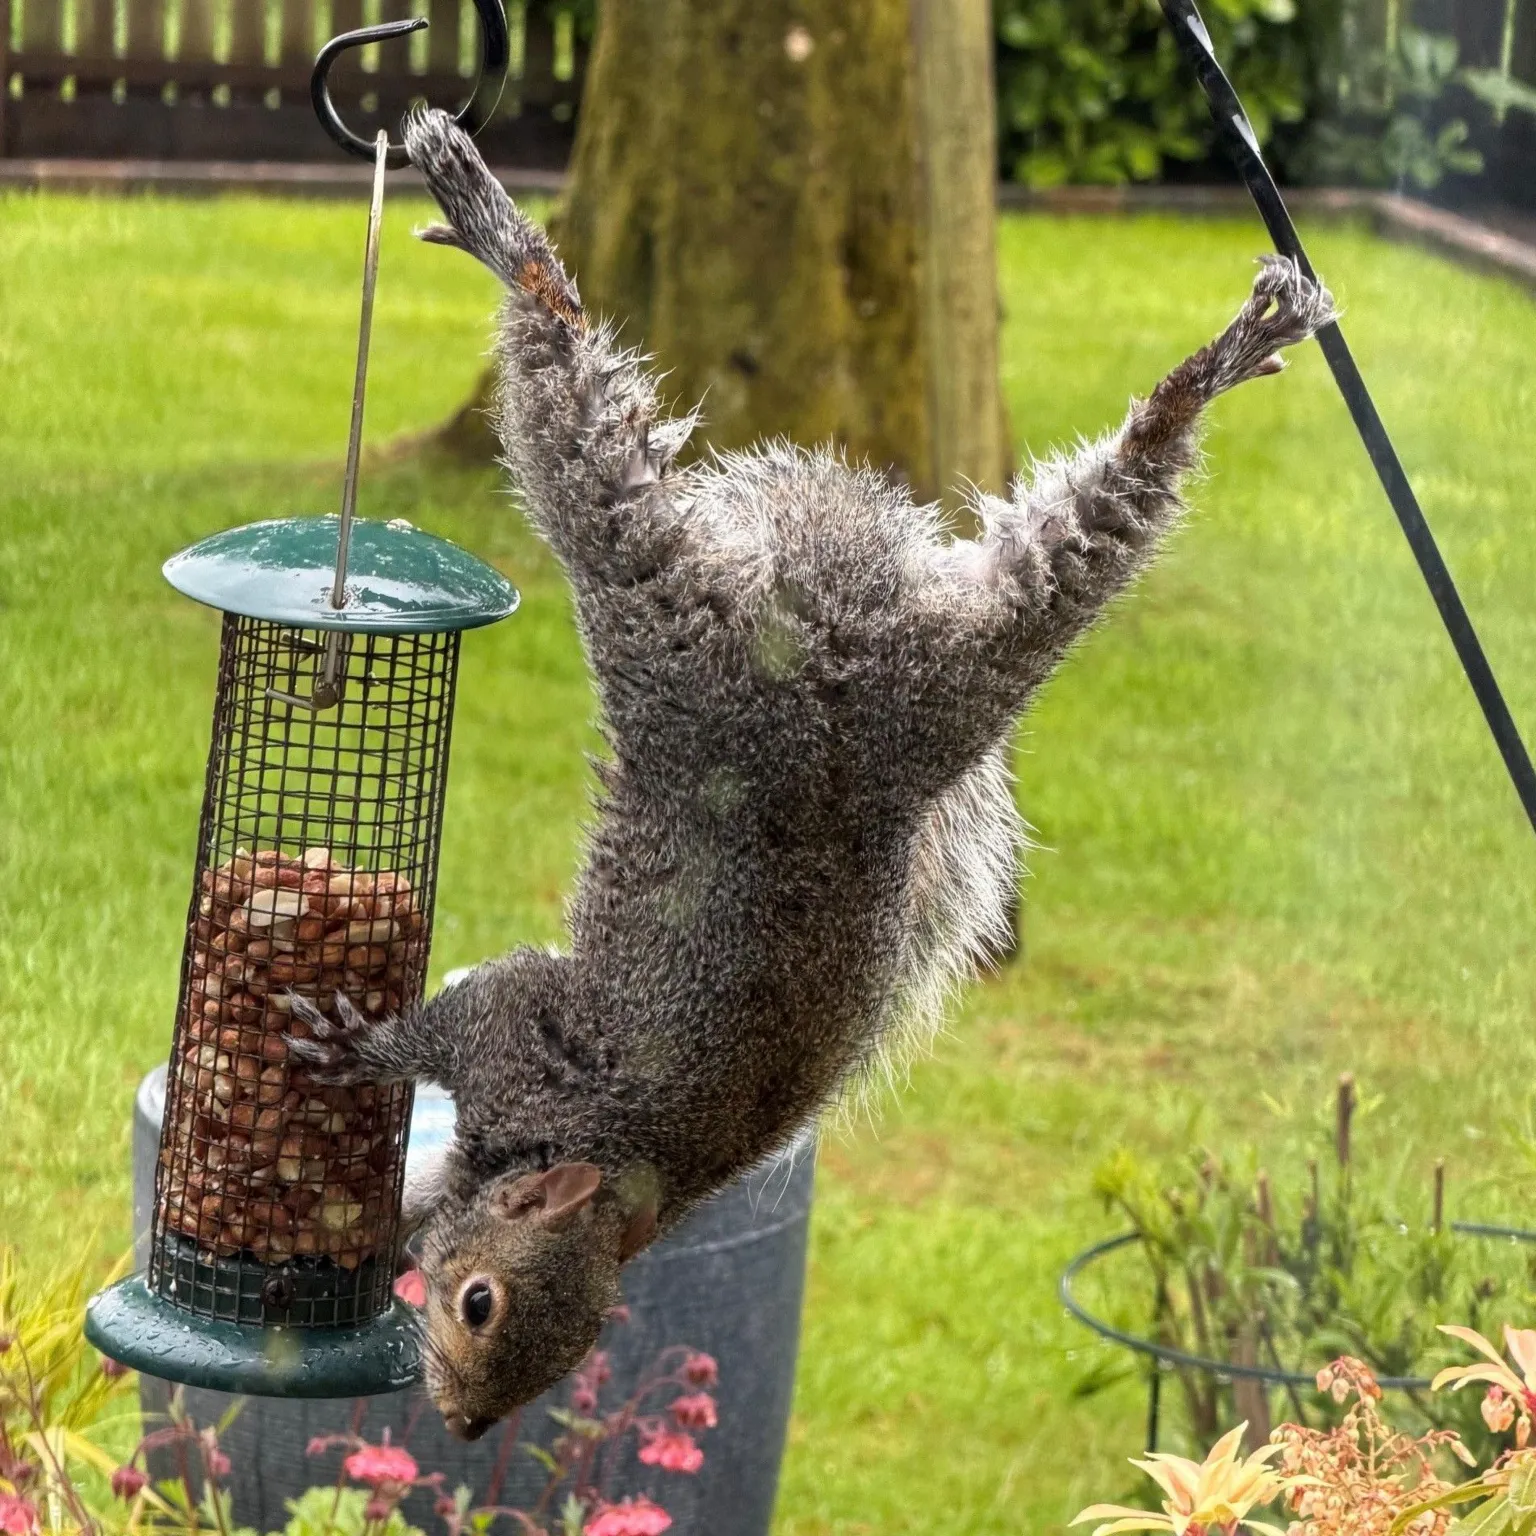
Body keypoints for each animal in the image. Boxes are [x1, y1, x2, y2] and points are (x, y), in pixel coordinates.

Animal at [287, 106, 1336, 1440]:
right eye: (478, 1307)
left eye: (531, 1336)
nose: (467, 1424)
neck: (622, 1181)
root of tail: (835, 688)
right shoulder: (524, 1046)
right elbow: (468, 1025)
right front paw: (360, 1071)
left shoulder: (515, 1078)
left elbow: (444, 1097)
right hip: (779, 640)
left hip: (813, 653)